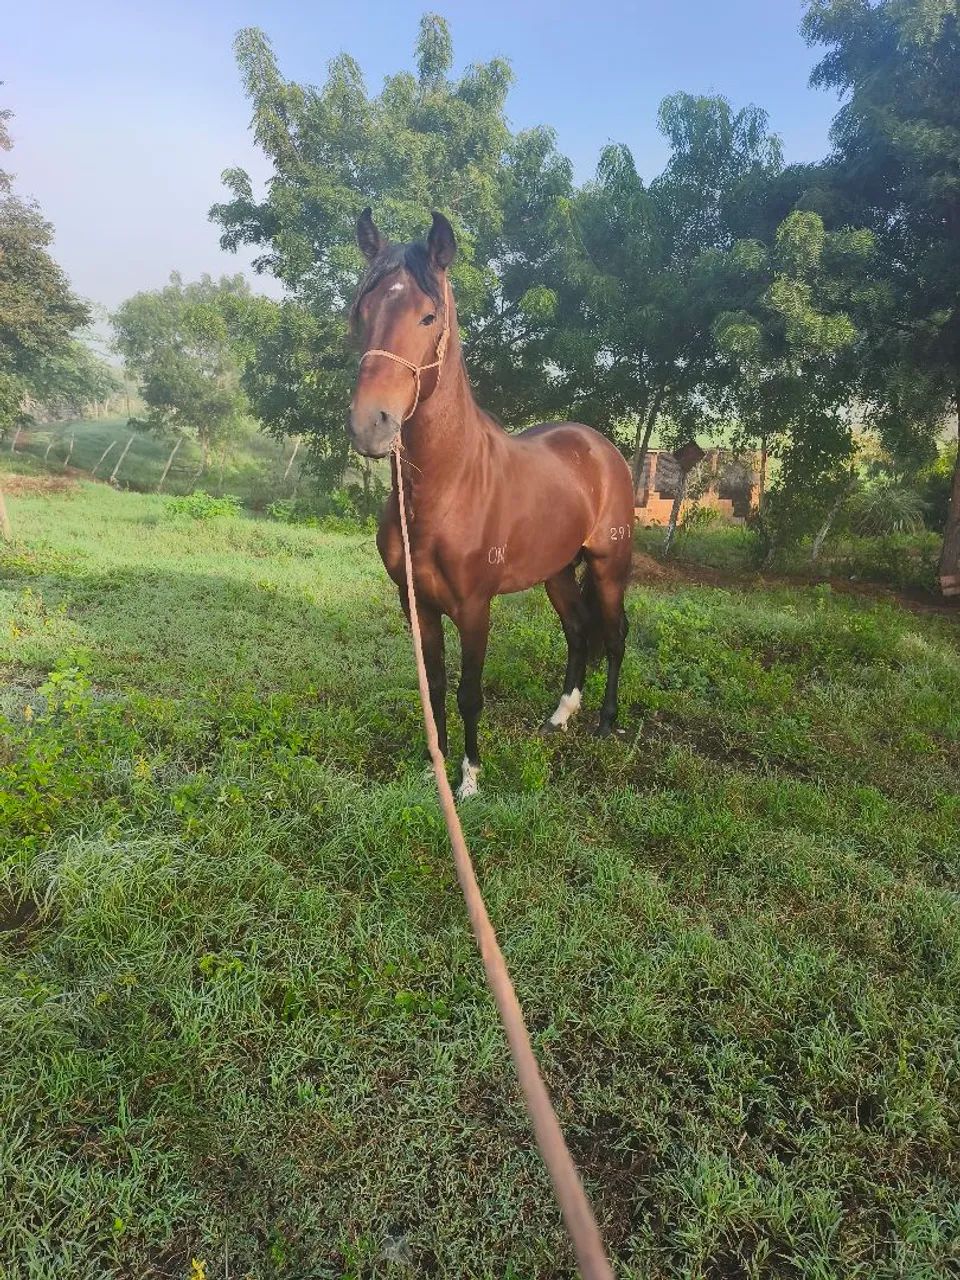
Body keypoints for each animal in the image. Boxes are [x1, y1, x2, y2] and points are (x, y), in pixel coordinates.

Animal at [348, 209, 634, 799]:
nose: (370, 424)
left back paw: (604, 722)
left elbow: (468, 693)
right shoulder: (417, 606)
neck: (447, 490)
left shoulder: (475, 608)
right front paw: (433, 767)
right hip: (556, 572)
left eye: (429, 315)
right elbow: (434, 690)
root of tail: (601, 448)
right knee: (578, 632)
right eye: (363, 310)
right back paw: (559, 716)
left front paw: (470, 779)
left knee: (615, 637)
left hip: (609, 566)